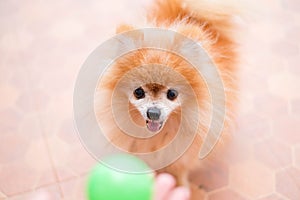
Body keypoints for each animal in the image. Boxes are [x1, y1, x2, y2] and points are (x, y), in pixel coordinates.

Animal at [96, 0, 239, 197]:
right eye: (138, 92)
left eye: (172, 94)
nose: (153, 112)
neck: (157, 137)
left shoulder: (181, 156)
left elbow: (179, 172)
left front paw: (181, 188)